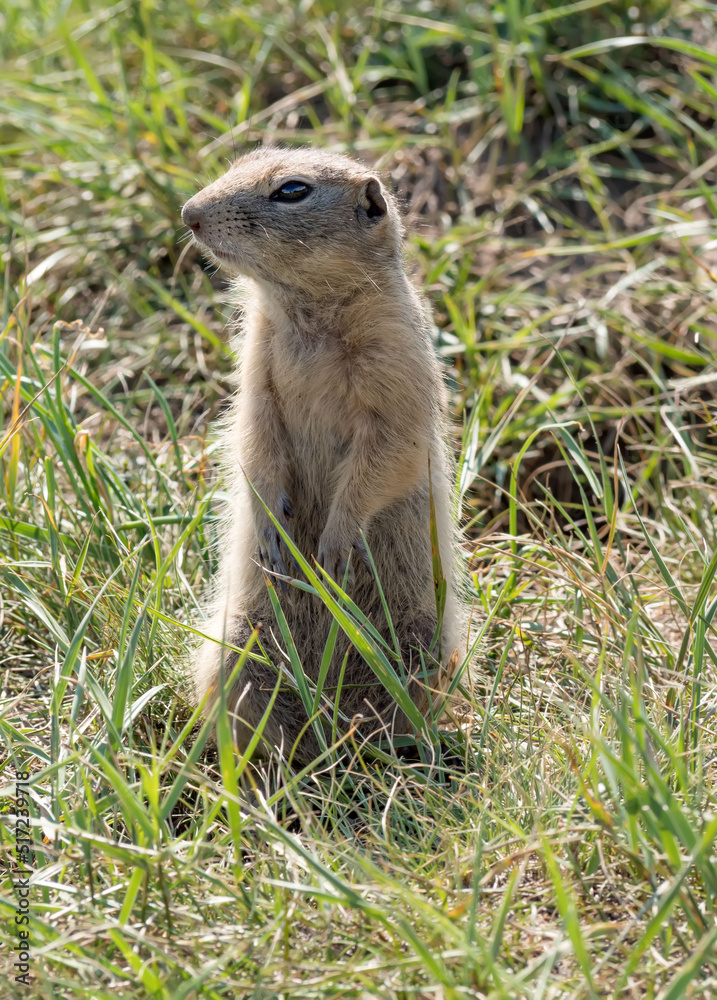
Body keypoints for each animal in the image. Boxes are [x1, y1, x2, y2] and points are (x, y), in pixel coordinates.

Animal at [182, 145, 462, 760]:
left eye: (292, 190)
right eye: (241, 159)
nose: (189, 214)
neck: (308, 313)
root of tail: (329, 729)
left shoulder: (397, 362)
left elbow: (389, 451)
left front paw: (334, 546)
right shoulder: (256, 371)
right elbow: (253, 440)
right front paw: (273, 528)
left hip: (421, 645)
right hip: (236, 647)